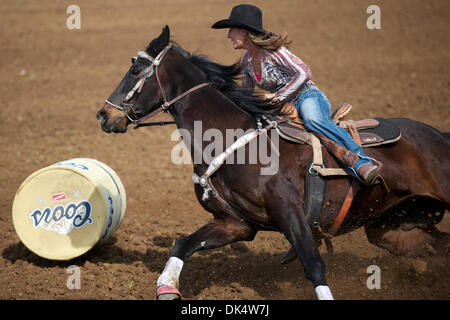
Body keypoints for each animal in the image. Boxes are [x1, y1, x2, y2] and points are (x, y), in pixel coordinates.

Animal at [96, 26, 448, 300]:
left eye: (136, 71)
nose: (104, 115)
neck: (232, 139)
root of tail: (438, 135)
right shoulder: (235, 223)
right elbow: (182, 245)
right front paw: (166, 288)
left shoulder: (290, 212)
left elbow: (313, 265)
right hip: (394, 227)